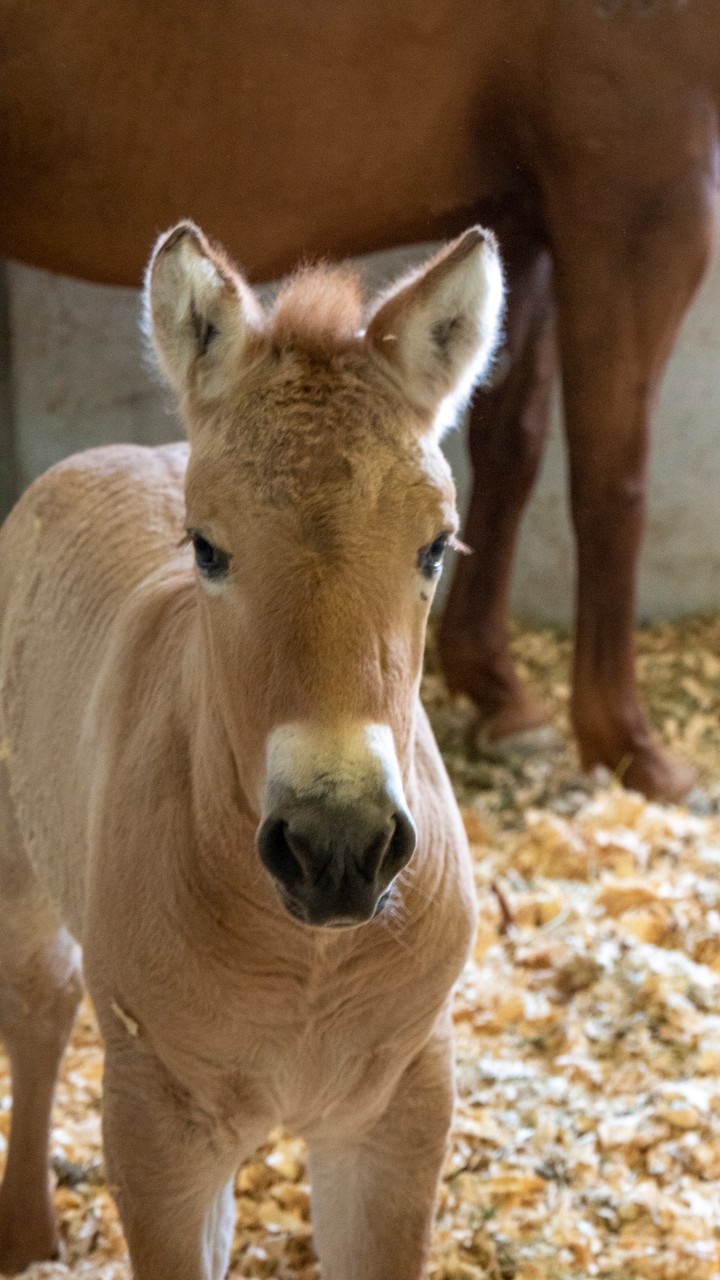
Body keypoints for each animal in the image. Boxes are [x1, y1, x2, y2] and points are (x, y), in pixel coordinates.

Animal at [2, 0, 712, 793]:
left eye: (435, 544)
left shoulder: (522, 217)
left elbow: (511, 443)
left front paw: (498, 689)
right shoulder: (640, 195)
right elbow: (612, 482)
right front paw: (631, 744)